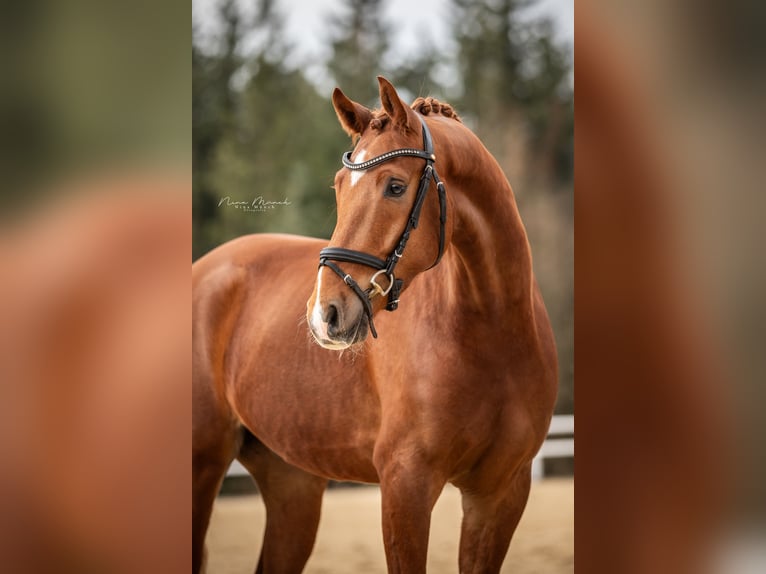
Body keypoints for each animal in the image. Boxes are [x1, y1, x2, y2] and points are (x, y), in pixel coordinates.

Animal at [194, 77, 560, 574]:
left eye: (395, 186)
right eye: (338, 186)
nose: (325, 314)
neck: (493, 334)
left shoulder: (501, 494)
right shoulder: (406, 484)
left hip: (292, 481)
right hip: (203, 465)